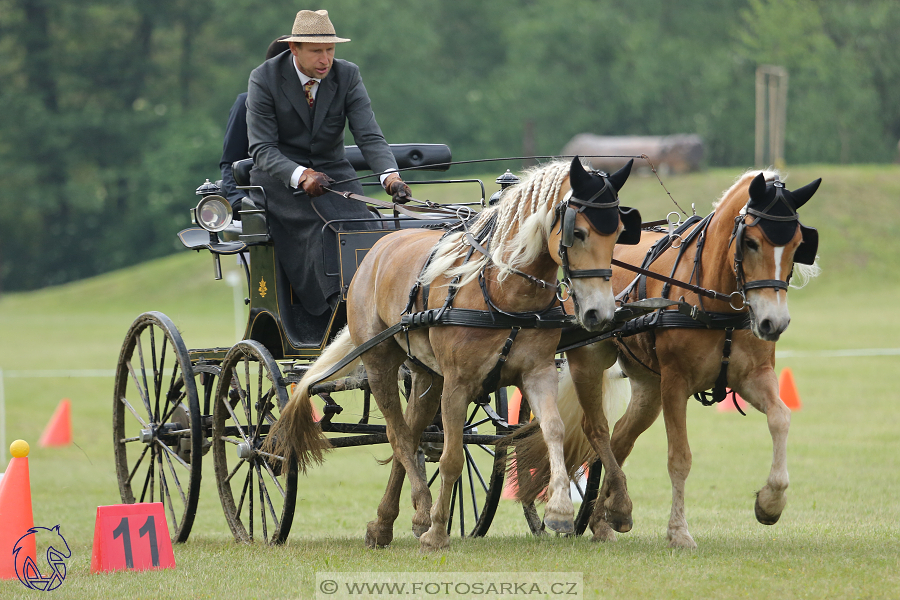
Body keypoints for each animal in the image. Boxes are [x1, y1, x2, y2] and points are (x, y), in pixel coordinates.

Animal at [268, 158, 640, 548]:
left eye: (618, 234)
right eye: (578, 232)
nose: (600, 313)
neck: (501, 289)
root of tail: (379, 246)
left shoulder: (537, 372)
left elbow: (552, 429)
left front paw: (560, 511)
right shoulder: (457, 383)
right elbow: (451, 457)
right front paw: (437, 532)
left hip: (426, 376)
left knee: (411, 434)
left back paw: (387, 522)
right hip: (380, 362)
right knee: (398, 435)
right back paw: (420, 511)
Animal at [510, 170, 820, 548]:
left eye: (797, 245)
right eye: (751, 242)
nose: (773, 322)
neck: (714, 301)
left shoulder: (755, 377)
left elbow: (781, 418)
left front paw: (770, 502)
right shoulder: (675, 383)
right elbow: (679, 458)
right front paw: (679, 532)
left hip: (648, 384)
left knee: (621, 438)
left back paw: (607, 517)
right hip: (591, 360)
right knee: (596, 429)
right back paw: (613, 507)